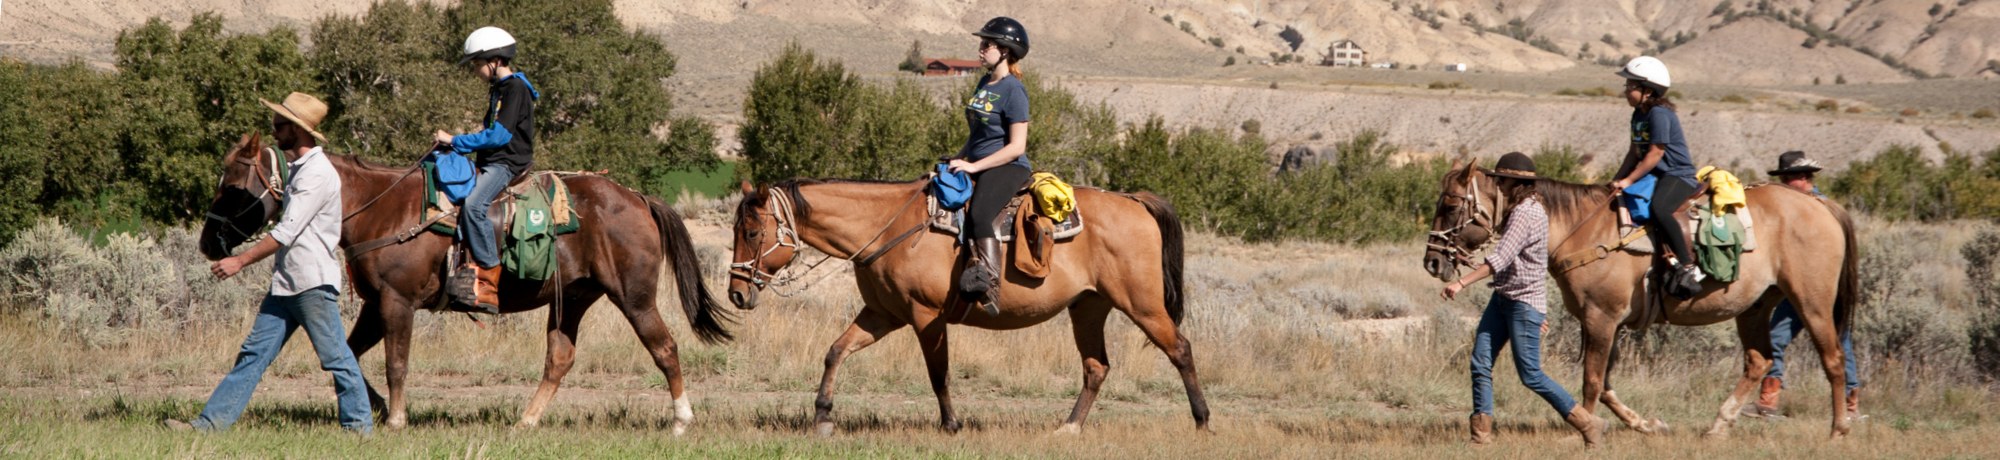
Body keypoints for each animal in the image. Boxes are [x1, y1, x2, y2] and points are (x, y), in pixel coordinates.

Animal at [197, 133, 732, 434]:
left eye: (233, 185)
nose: (207, 242)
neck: (381, 207)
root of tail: (638, 198)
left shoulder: (397, 304)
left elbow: (396, 364)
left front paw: (395, 419)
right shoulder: (374, 306)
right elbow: (347, 355)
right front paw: (374, 408)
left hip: (635, 297)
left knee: (664, 348)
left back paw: (681, 421)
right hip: (572, 301)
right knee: (560, 359)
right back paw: (526, 421)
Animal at [724, 178, 1208, 435]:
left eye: (753, 232)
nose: (736, 293)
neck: (889, 229)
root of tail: (1135, 201)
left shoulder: (925, 317)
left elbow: (938, 373)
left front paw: (951, 424)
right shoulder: (883, 315)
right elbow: (835, 351)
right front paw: (823, 416)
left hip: (1142, 305)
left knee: (1181, 349)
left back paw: (1203, 420)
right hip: (1089, 307)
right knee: (1096, 367)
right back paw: (1069, 427)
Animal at [1421, 161, 1859, 440]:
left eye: (1451, 204)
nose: (1432, 261)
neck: (1582, 230)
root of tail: (1820, 204)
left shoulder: (1601, 318)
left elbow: (1592, 380)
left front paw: (1585, 432)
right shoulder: (1604, 322)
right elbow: (1607, 383)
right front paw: (1645, 425)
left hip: (1811, 302)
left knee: (1834, 359)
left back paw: (1838, 429)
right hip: (1755, 307)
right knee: (1759, 361)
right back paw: (1719, 426)